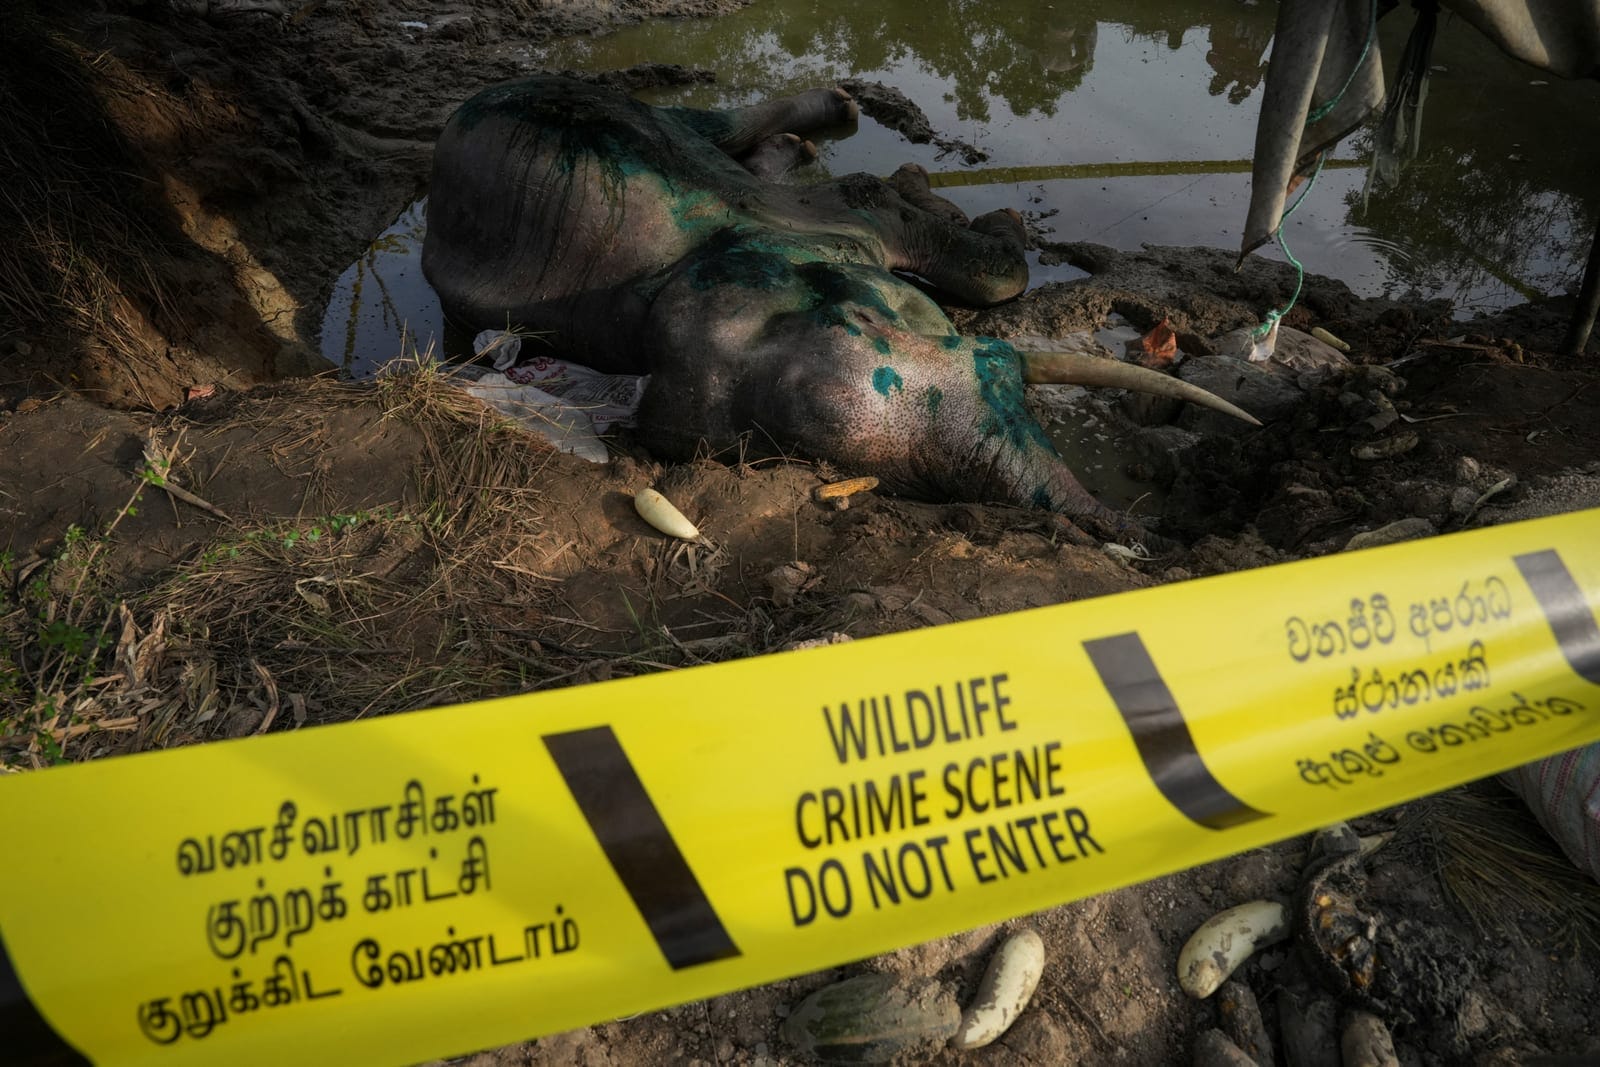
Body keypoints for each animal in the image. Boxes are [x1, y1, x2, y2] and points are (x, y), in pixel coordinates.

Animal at [421, 76, 1255, 544]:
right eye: (794, 426)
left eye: (877, 314)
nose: (1150, 533)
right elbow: (929, 229)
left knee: (716, 128)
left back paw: (815, 130)